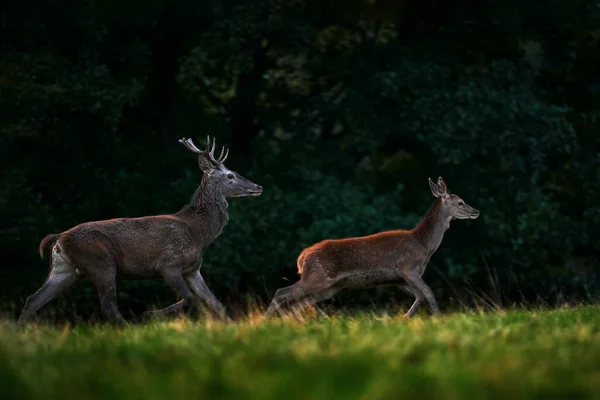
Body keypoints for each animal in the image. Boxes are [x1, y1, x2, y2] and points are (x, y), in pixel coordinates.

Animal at [17, 136, 262, 324]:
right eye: (230, 175)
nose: (257, 186)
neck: (199, 234)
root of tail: (59, 238)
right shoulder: (169, 264)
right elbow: (190, 299)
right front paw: (149, 314)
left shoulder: (193, 269)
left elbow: (215, 303)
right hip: (100, 263)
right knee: (108, 307)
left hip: (64, 268)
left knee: (33, 300)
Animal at [264, 177, 480, 318]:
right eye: (460, 202)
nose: (476, 211)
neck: (423, 245)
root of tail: (301, 258)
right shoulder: (407, 267)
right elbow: (428, 293)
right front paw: (438, 318)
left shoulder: (398, 278)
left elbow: (420, 295)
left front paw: (405, 318)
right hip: (318, 276)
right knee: (282, 292)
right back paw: (266, 322)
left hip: (331, 286)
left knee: (299, 303)